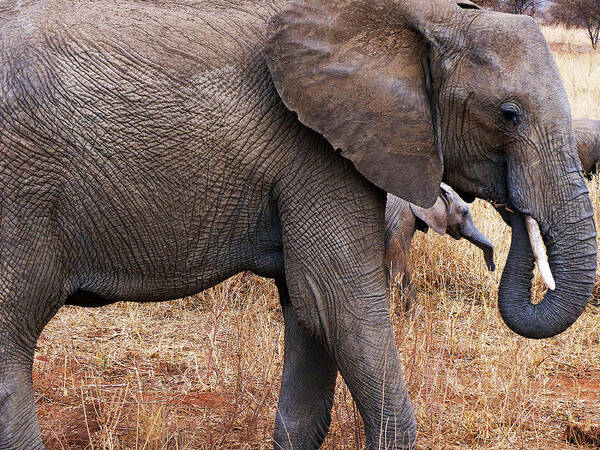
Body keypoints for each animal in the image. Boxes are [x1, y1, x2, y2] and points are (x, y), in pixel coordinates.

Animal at [0, 0, 596, 448]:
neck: (423, 15)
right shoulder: (317, 153)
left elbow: (309, 317)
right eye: (508, 114)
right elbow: (338, 305)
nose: (512, 226)